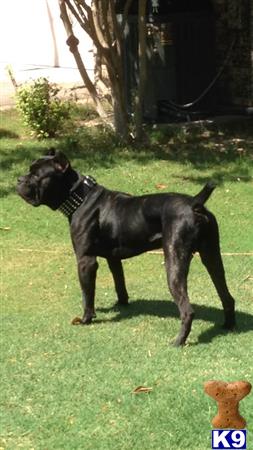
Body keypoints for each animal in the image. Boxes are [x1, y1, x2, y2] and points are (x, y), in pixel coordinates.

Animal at [17, 150, 235, 344]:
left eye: (36, 175)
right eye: (29, 171)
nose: (19, 180)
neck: (80, 197)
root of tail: (194, 204)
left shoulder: (86, 261)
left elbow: (87, 293)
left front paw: (86, 318)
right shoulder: (113, 259)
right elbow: (119, 282)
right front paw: (122, 304)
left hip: (175, 262)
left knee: (187, 310)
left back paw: (178, 341)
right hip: (212, 257)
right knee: (227, 296)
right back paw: (228, 326)